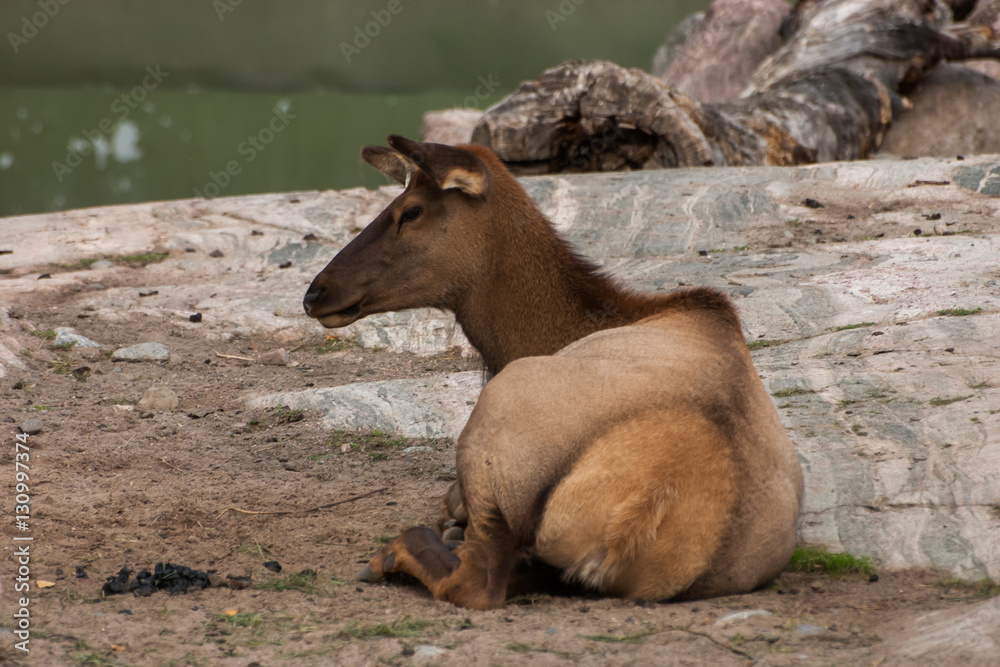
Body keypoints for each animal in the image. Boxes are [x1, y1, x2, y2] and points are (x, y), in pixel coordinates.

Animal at [303, 136, 803, 610]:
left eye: (410, 211)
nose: (314, 293)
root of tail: (642, 508)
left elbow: (451, 500)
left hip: (494, 421)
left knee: (477, 581)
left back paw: (395, 554)